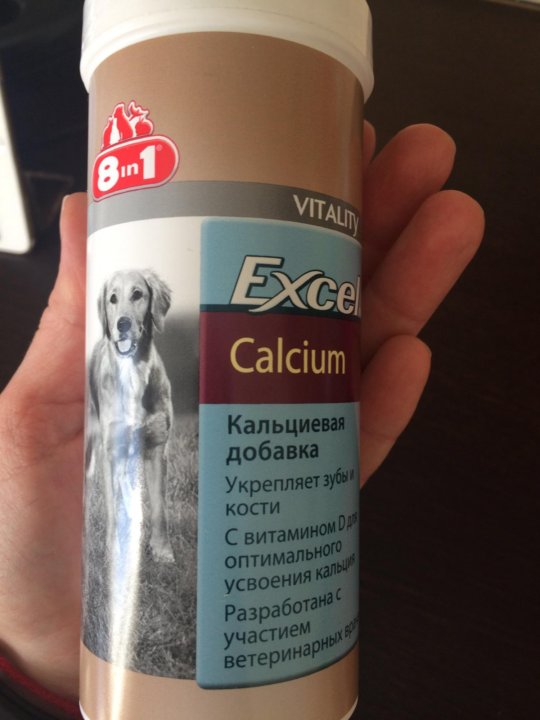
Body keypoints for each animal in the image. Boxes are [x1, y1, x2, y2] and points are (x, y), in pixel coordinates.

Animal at [86, 269, 174, 563]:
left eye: (138, 294)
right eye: (112, 298)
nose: (122, 324)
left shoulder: (157, 447)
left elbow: (159, 508)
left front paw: (161, 550)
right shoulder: (110, 450)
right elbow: (112, 508)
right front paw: (114, 551)